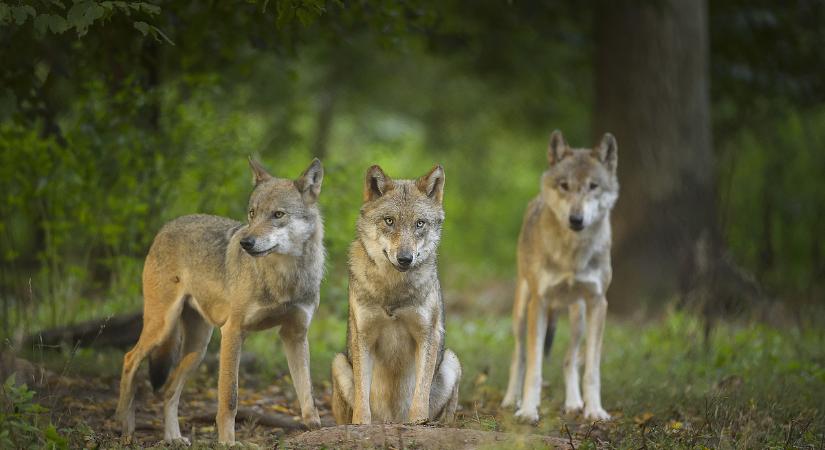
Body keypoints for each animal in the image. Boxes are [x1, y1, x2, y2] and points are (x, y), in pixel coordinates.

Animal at [115, 157, 326, 442]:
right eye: (252, 213)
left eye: (278, 215)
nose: (246, 243)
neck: (284, 277)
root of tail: (167, 226)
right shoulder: (233, 331)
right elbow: (229, 399)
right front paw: (228, 442)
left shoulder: (295, 334)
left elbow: (308, 395)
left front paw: (316, 430)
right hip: (163, 328)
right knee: (130, 359)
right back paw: (125, 427)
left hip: (198, 349)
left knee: (169, 389)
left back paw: (173, 437)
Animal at [328, 164, 460, 426]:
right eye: (389, 221)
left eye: (419, 224)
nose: (405, 258)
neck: (392, 289)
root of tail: (391, 420)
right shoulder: (363, 335)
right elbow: (362, 396)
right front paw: (361, 424)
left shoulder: (427, 334)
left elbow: (420, 393)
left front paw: (418, 423)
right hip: (338, 362)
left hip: (452, 361)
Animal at [496, 131, 616, 426]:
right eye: (564, 185)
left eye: (593, 186)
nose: (576, 219)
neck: (572, 255)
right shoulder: (538, 303)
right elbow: (534, 368)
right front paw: (528, 411)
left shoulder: (599, 303)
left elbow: (592, 370)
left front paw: (595, 411)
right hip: (521, 312)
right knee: (518, 357)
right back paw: (510, 400)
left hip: (578, 317)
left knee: (569, 360)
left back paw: (573, 403)